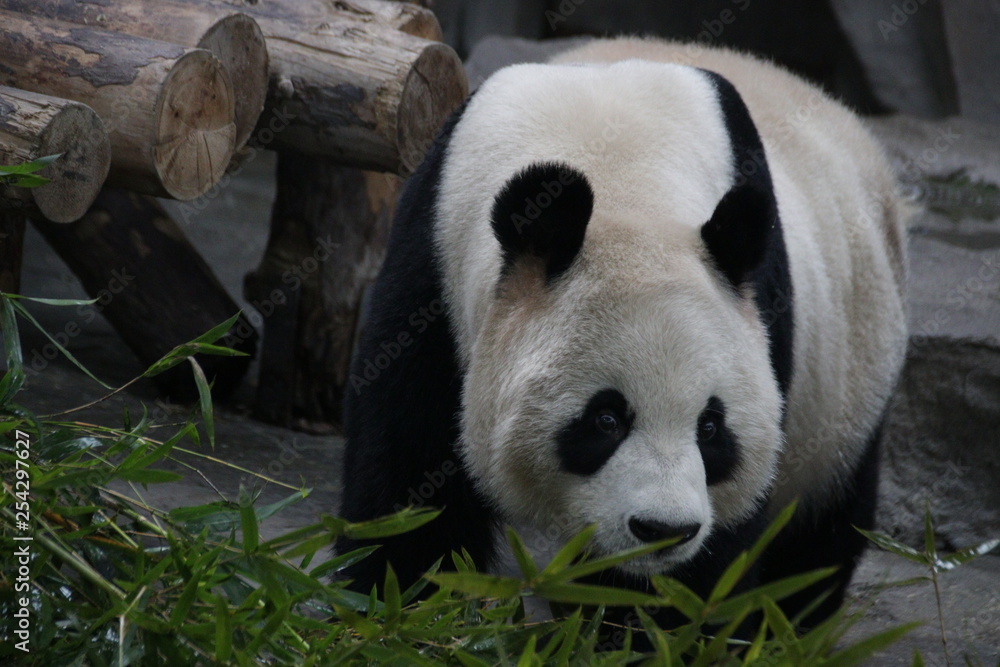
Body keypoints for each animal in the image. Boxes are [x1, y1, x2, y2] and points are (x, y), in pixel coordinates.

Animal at [340, 39, 912, 628]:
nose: (663, 531)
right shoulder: (434, 264)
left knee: (819, 534)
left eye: (711, 427)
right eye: (606, 419)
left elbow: (713, 559)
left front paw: (645, 624)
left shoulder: (767, 314)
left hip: (850, 377)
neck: (620, 178)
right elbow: (411, 474)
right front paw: (403, 612)